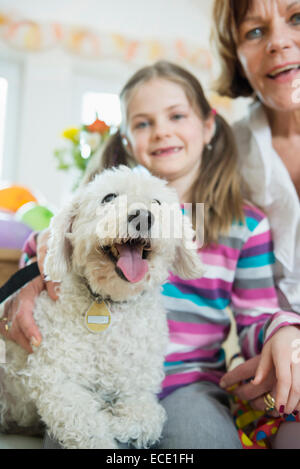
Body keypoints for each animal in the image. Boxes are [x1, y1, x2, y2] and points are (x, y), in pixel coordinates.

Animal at [0, 165, 204, 446]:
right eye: (108, 198)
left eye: (157, 202)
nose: (142, 216)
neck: (111, 303)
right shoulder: (58, 382)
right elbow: (89, 426)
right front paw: (105, 425)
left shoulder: (139, 388)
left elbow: (148, 419)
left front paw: (116, 421)